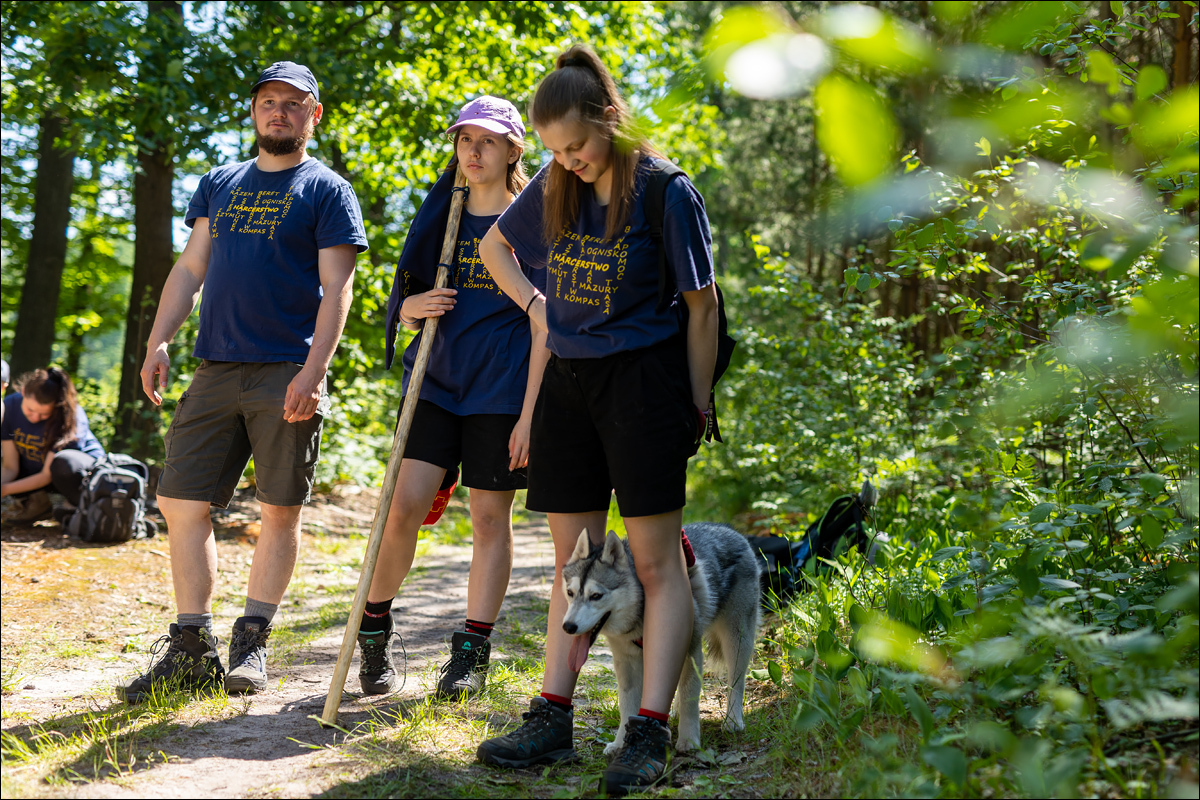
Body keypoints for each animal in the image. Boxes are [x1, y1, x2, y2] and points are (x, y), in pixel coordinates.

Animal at [561, 522, 762, 754]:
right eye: (570, 593)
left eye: (596, 596)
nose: (568, 627)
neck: (641, 612)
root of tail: (731, 530)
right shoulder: (626, 662)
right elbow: (626, 705)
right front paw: (620, 743)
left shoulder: (689, 651)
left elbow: (689, 698)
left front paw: (689, 740)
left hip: (736, 640)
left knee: (736, 682)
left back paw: (733, 720)